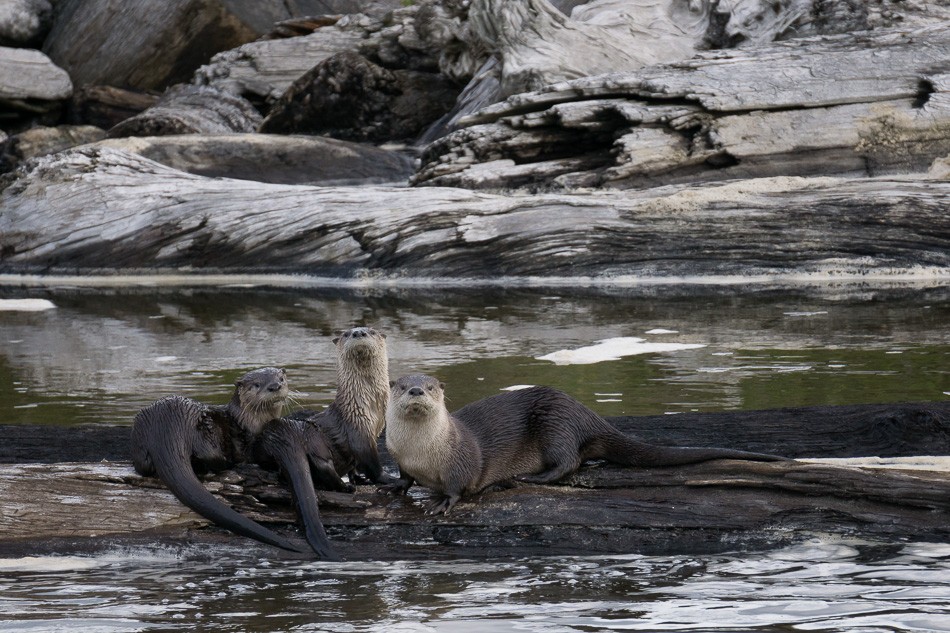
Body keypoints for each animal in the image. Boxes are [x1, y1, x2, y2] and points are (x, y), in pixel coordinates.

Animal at [131, 367, 304, 553]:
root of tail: (167, 427)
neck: (248, 422)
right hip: (205, 430)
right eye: (257, 384)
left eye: (281, 378)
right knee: (211, 457)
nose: (274, 386)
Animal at [255, 326, 392, 558]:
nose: (358, 333)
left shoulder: (375, 429)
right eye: (347, 333)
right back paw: (346, 488)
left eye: (371, 330)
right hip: (317, 445)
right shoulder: (359, 431)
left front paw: (359, 478)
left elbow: (356, 464)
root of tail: (289, 434)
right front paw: (386, 478)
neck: (369, 406)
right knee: (324, 469)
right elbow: (370, 460)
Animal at [383, 374, 788, 515]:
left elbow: (458, 485)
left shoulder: (460, 459)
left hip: (555, 425)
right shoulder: (401, 457)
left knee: (570, 462)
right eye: (402, 385)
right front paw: (395, 487)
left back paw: (525, 479)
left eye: (431, 386)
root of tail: (585, 412)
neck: (422, 452)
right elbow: (404, 476)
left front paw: (442, 501)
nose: (417, 391)